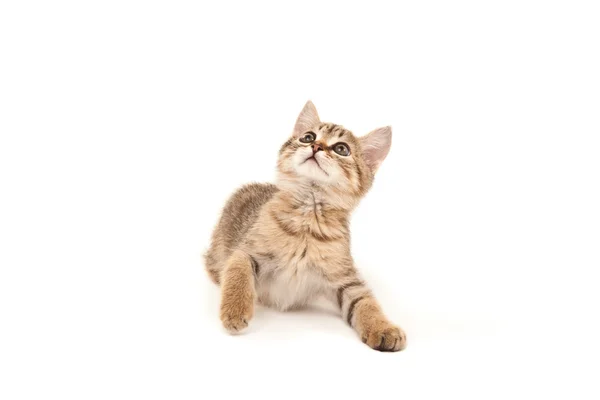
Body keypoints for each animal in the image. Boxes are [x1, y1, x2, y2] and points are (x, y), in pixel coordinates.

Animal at [206, 101, 408, 352]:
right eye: (308, 137)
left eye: (341, 149)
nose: (316, 145)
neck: (308, 218)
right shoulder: (245, 251)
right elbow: (237, 273)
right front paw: (234, 310)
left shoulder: (346, 280)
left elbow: (365, 302)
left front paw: (382, 327)